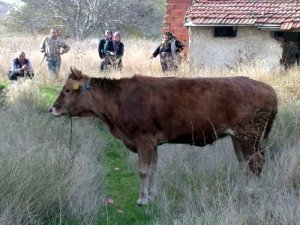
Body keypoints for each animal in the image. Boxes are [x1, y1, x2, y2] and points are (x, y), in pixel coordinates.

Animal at [49, 67, 276, 206]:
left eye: (67, 89)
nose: (52, 109)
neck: (119, 101)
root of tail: (268, 88)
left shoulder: (144, 139)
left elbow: (143, 170)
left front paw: (142, 199)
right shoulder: (154, 143)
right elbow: (153, 169)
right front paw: (152, 195)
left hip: (248, 134)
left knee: (255, 163)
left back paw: (251, 192)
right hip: (239, 137)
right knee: (244, 163)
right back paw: (240, 190)